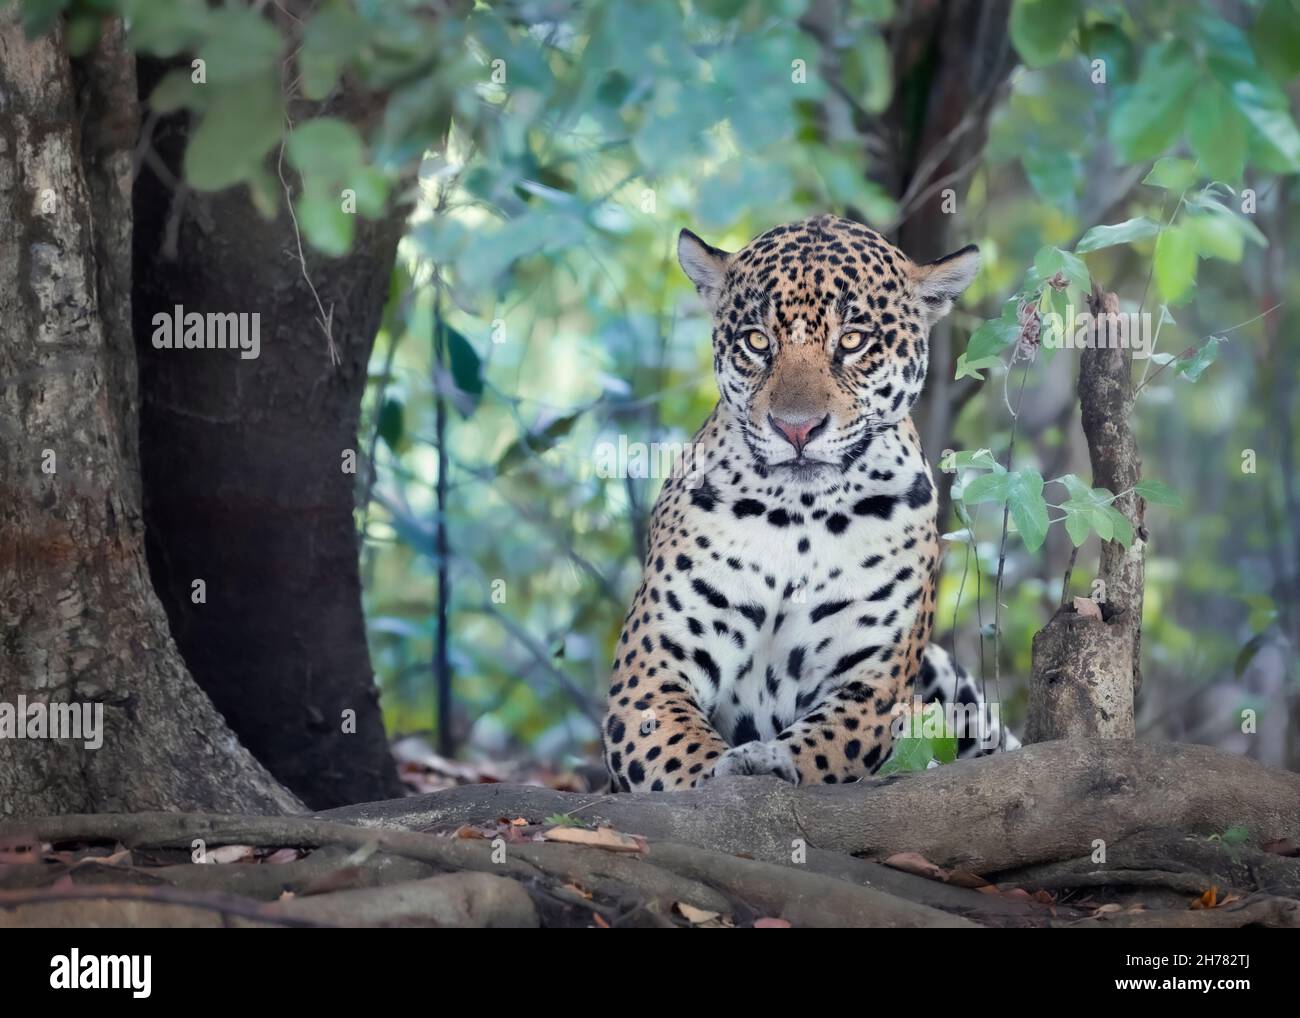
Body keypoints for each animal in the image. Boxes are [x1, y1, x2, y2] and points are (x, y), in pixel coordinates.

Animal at [602, 214, 1018, 792]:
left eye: (854, 341)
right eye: (757, 341)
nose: (796, 428)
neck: (799, 512)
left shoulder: (873, 687)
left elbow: (820, 746)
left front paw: (769, 761)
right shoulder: (650, 674)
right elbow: (682, 760)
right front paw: (733, 767)